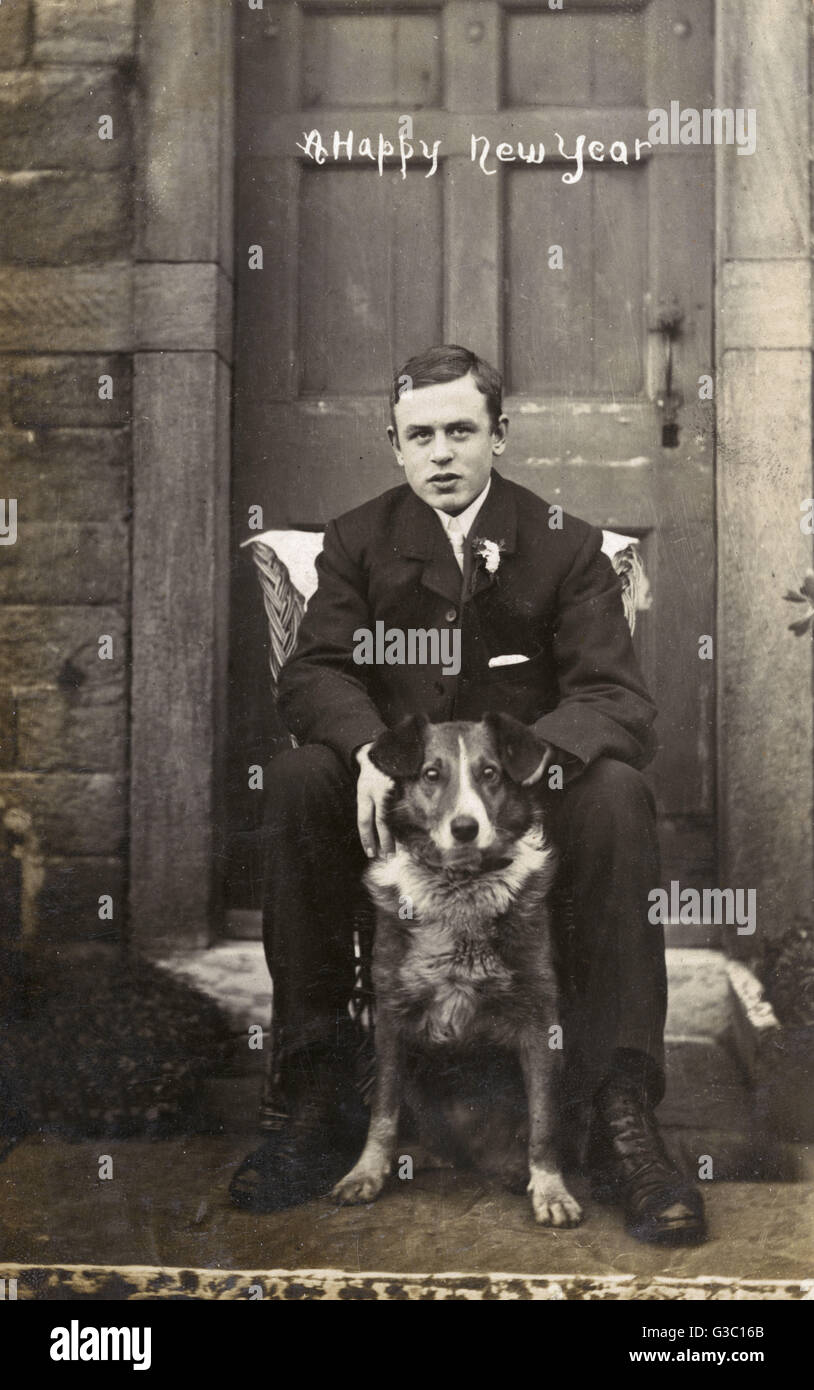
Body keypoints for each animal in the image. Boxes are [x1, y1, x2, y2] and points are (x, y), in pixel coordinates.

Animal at [329, 717, 583, 1228]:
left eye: (490, 773)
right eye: (431, 774)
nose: (465, 828)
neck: (461, 887)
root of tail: (466, 1157)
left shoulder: (542, 1020)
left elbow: (544, 1120)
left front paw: (551, 1189)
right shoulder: (389, 1017)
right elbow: (383, 1110)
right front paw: (366, 1172)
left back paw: (515, 1169)